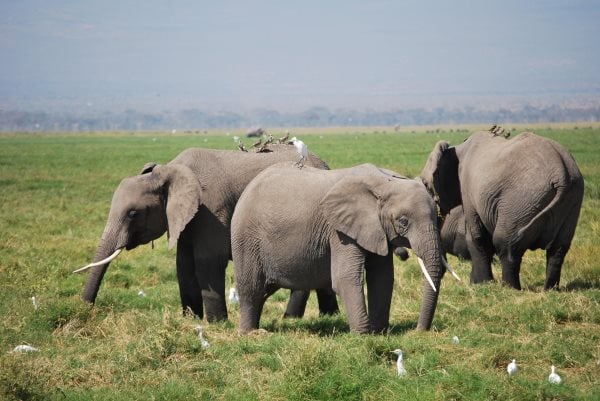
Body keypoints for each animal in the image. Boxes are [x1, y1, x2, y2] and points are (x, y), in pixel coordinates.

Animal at [75, 144, 338, 322]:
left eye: (132, 213)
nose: (86, 310)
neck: (170, 170)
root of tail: (326, 165)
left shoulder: (212, 208)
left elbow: (208, 261)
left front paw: (217, 323)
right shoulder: (187, 217)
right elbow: (183, 264)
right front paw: (190, 320)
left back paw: (293, 318)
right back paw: (329, 317)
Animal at [232, 161, 448, 332]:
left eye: (438, 218)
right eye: (403, 222)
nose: (419, 331)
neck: (384, 182)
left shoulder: (375, 229)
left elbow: (383, 278)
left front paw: (380, 333)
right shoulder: (339, 231)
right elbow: (346, 278)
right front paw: (363, 335)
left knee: (264, 291)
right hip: (246, 239)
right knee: (252, 288)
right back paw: (251, 334)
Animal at [420, 130, 584, 290]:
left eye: (426, 185)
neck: (457, 148)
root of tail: (561, 174)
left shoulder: (467, 189)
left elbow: (477, 235)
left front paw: (481, 284)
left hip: (520, 201)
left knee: (506, 242)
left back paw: (509, 288)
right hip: (572, 200)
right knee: (559, 249)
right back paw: (550, 290)